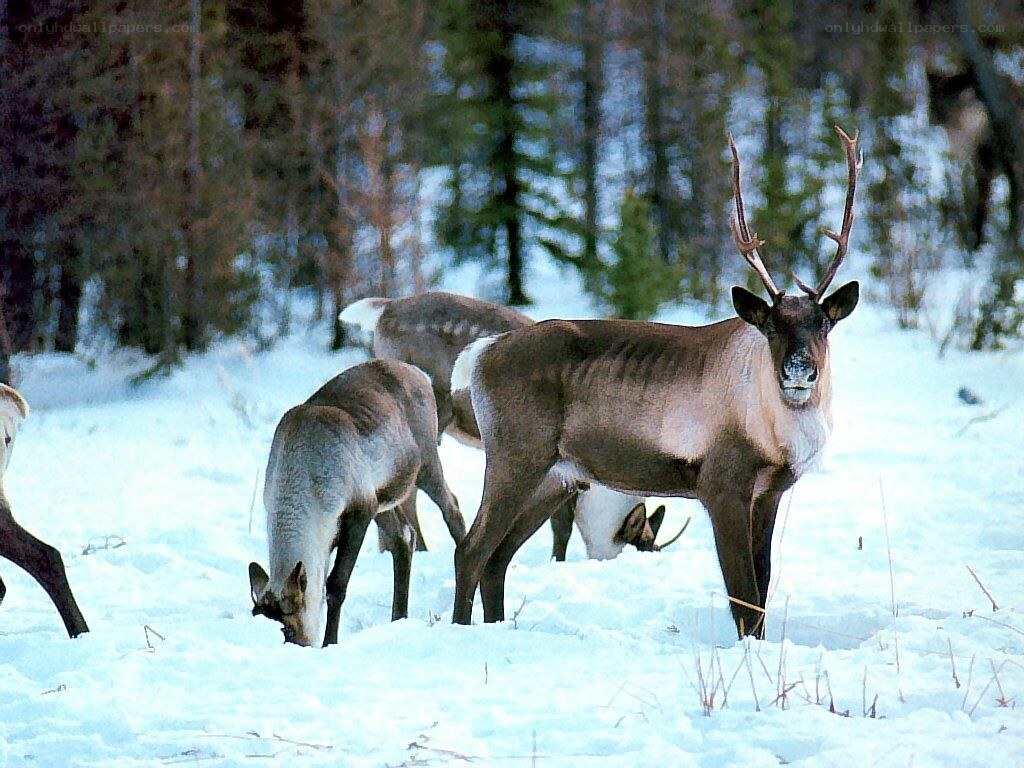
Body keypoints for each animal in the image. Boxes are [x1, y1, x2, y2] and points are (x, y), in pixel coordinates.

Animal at [248, 359, 465, 646]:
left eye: (289, 629)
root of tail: (418, 373)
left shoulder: (359, 512)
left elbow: (335, 585)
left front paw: (330, 642)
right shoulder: (353, 515)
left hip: (426, 465)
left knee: (452, 509)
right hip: (384, 499)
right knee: (404, 535)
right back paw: (398, 617)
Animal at [450, 126, 863, 638]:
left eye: (823, 324)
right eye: (771, 325)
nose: (799, 370)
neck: (774, 432)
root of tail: (482, 352)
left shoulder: (770, 493)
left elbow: (763, 590)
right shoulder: (721, 485)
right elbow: (744, 597)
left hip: (557, 477)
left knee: (497, 558)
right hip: (516, 456)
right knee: (471, 550)